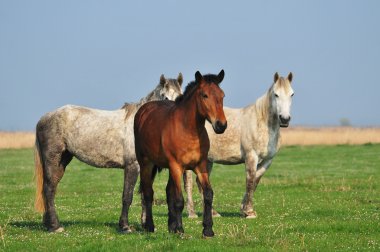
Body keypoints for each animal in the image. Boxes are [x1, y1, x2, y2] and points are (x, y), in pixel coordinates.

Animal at [35, 74, 183, 233]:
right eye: (165, 97)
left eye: (180, 96)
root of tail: (44, 118)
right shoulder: (132, 166)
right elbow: (127, 196)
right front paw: (125, 226)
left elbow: (145, 194)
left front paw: (145, 225)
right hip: (53, 158)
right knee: (49, 189)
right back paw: (55, 226)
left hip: (63, 160)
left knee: (51, 189)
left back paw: (49, 223)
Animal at [134, 70, 226, 237]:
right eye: (204, 95)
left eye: (222, 95)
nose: (221, 125)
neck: (188, 130)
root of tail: (144, 110)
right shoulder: (177, 166)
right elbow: (178, 199)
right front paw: (180, 229)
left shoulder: (200, 166)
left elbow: (208, 194)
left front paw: (208, 229)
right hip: (146, 164)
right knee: (148, 192)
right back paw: (149, 226)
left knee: (168, 191)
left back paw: (170, 225)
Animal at [184, 72, 294, 219]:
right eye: (276, 94)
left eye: (292, 94)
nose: (285, 119)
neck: (262, 123)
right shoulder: (251, 156)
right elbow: (250, 180)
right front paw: (249, 212)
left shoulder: (268, 160)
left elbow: (256, 180)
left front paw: (244, 208)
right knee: (189, 183)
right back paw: (192, 213)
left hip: (208, 159)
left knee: (200, 182)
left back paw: (213, 213)